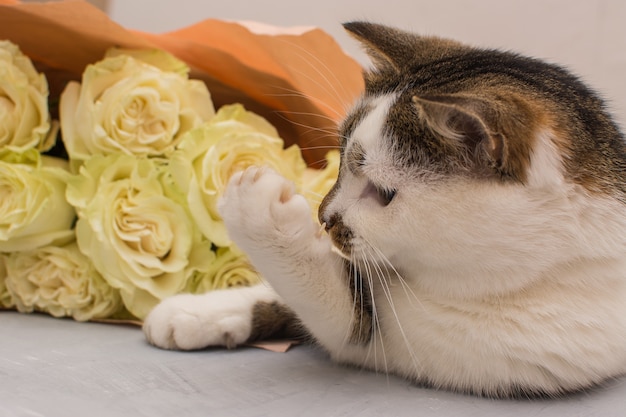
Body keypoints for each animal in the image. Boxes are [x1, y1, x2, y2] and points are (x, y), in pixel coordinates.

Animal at [144, 22, 624, 396]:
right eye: (341, 161)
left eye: (384, 192)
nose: (323, 217)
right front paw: (203, 311)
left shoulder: (448, 344)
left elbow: (338, 309)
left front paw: (260, 213)